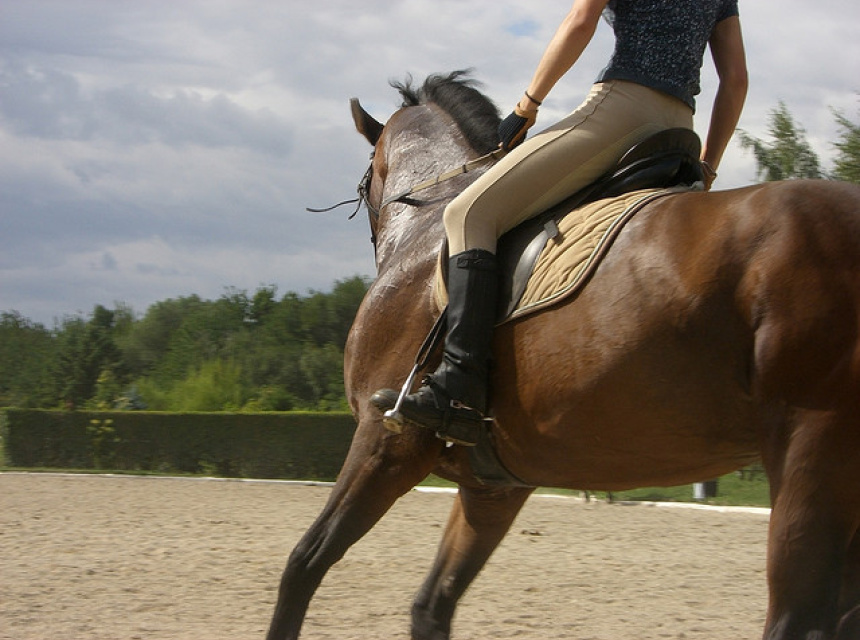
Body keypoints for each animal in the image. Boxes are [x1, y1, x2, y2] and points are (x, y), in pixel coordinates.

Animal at [266, 72, 860, 640]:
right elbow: (431, 606)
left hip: (813, 443)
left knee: (798, 618)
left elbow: (303, 565)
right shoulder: (493, 485)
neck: (430, 230)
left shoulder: (387, 440)